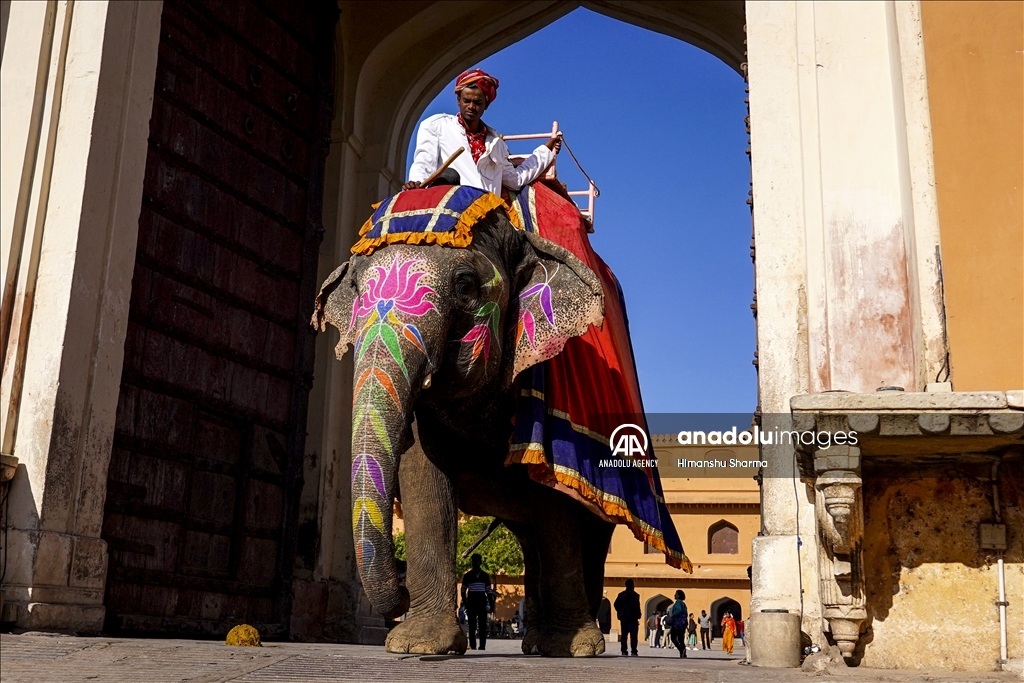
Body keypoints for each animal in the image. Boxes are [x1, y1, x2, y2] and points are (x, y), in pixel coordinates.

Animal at [311, 191, 614, 655]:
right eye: (358, 288)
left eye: (466, 285)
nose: (400, 591)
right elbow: (422, 476)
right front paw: (417, 644)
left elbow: (555, 499)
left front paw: (574, 647)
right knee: (530, 541)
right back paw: (535, 642)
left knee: (590, 535)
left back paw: (571, 642)